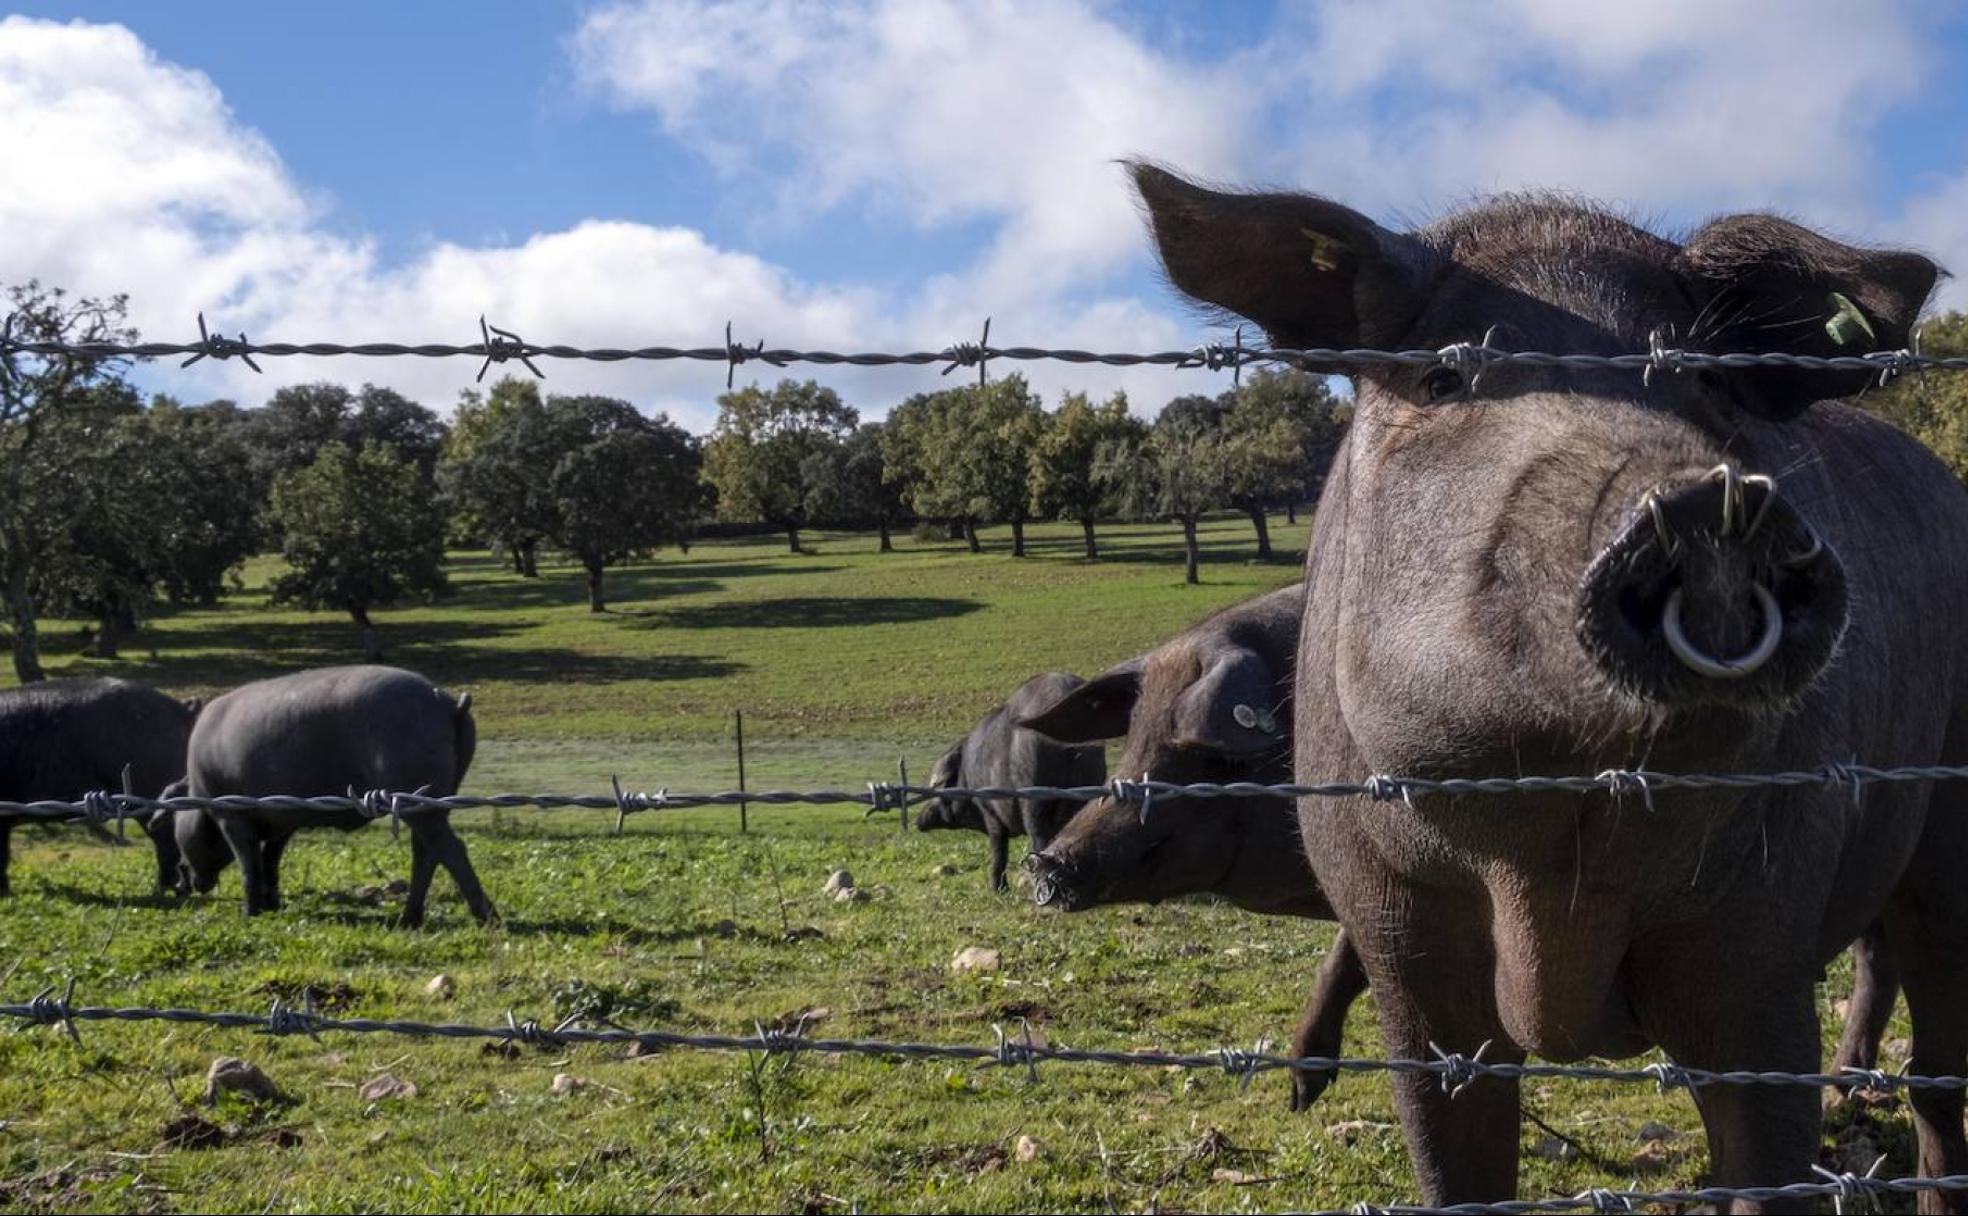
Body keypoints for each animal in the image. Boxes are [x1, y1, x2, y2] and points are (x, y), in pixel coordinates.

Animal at [182, 661, 495, 916]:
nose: (188, 879)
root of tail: (448, 704)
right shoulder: (283, 820)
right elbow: (270, 860)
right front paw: (272, 907)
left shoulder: (230, 817)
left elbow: (250, 865)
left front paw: (250, 915)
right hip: (435, 799)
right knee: (426, 852)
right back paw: (409, 920)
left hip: (417, 799)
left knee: (451, 849)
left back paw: (487, 918)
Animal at [917, 668, 1109, 885]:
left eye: (938, 786)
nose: (918, 821)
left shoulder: (989, 810)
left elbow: (999, 847)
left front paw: (998, 888)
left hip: (1034, 794)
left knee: (1038, 837)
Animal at [1133, 158, 1968, 1204]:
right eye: (1444, 376)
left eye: (1701, 376)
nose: (1706, 502)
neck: (1555, 858)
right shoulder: (1401, 943)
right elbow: (1453, 1165)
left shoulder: (1761, 951)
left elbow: (1765, 1156)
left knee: (1935, 1055)